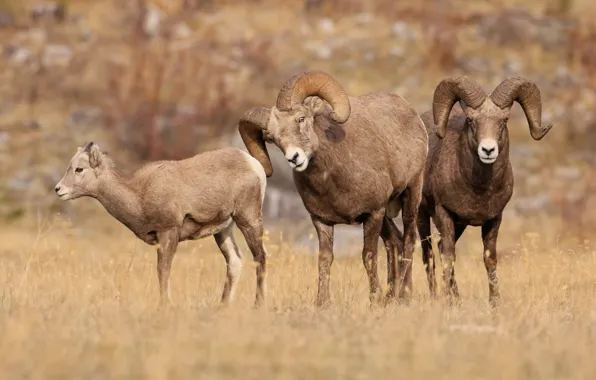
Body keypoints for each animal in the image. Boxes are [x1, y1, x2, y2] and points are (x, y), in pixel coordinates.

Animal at [53, 142, 268, 306]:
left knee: (260, 257)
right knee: (235, 261)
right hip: (223, 230)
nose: (58, 189)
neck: (138, 195)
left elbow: (163, 271)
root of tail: (252, 164)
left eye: (79, 169)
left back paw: (258, 306)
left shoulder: (168, 234)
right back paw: (223, 306)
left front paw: (165, 305)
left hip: (248, 219)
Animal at [237, 70, 428, 306]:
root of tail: (410, 112)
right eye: (271, 137)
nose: (294, 158)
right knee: (395, 242)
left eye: (301, 119)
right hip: (386, 215)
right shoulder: (322, 221)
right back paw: (391, 296)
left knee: (408, 241)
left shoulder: (373, 213)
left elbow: (368, 256)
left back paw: (403, 295)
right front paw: (322, 303)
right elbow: (325, 260)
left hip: (411, 193)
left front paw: (373, 299)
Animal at [416, 75, 552, 308]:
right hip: (421, 216)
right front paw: (447, 303)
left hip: (459, 226)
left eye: (504, 120)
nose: (488, 150)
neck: (478, 188)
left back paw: (457, 298)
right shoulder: (444, 213)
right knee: (429, 255)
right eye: (471, 120)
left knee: (441, 247)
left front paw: (494, 302)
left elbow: (489, 258)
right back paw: (436, 297)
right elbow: (448, 257)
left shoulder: (494, 219)